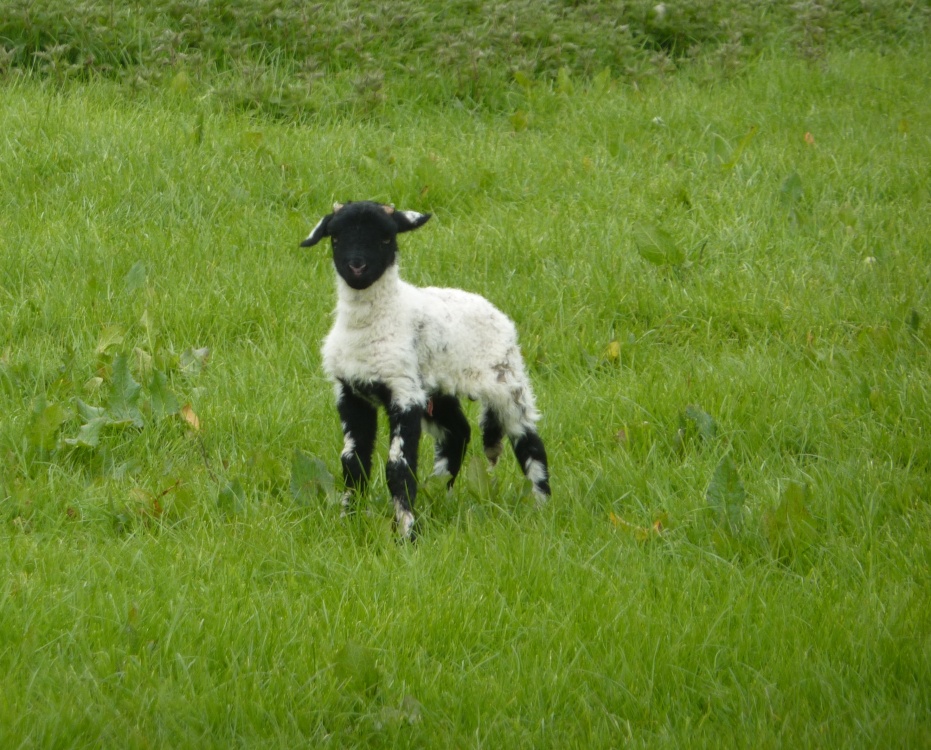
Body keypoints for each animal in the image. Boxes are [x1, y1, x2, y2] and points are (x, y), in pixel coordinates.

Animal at [300, 200, 550, 539]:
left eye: (386, 238)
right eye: (335, 237)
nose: (356, 267)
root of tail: (495, 311)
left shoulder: (403, 391)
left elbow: (398, 467)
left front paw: (406, 532)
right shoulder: (351, 392)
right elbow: (353, 463)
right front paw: (348, 521)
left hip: (506, 379)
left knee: (528, 440)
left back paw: (542, 506)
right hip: (437, 389)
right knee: (457, 433)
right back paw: (438, 492)